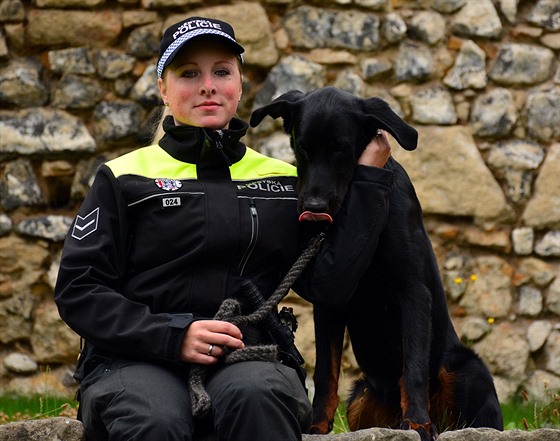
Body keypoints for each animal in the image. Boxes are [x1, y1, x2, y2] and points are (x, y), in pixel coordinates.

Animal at [249, 87, 504, 440]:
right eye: (302, 147)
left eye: (341, 149)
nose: (313, 208)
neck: (359, 208)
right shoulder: (329, 305)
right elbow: (326, 373)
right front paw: (317, 426)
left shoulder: (413, 291)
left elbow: (413, 368)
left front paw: (418, 423)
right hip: (361, 395)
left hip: (466, 370)